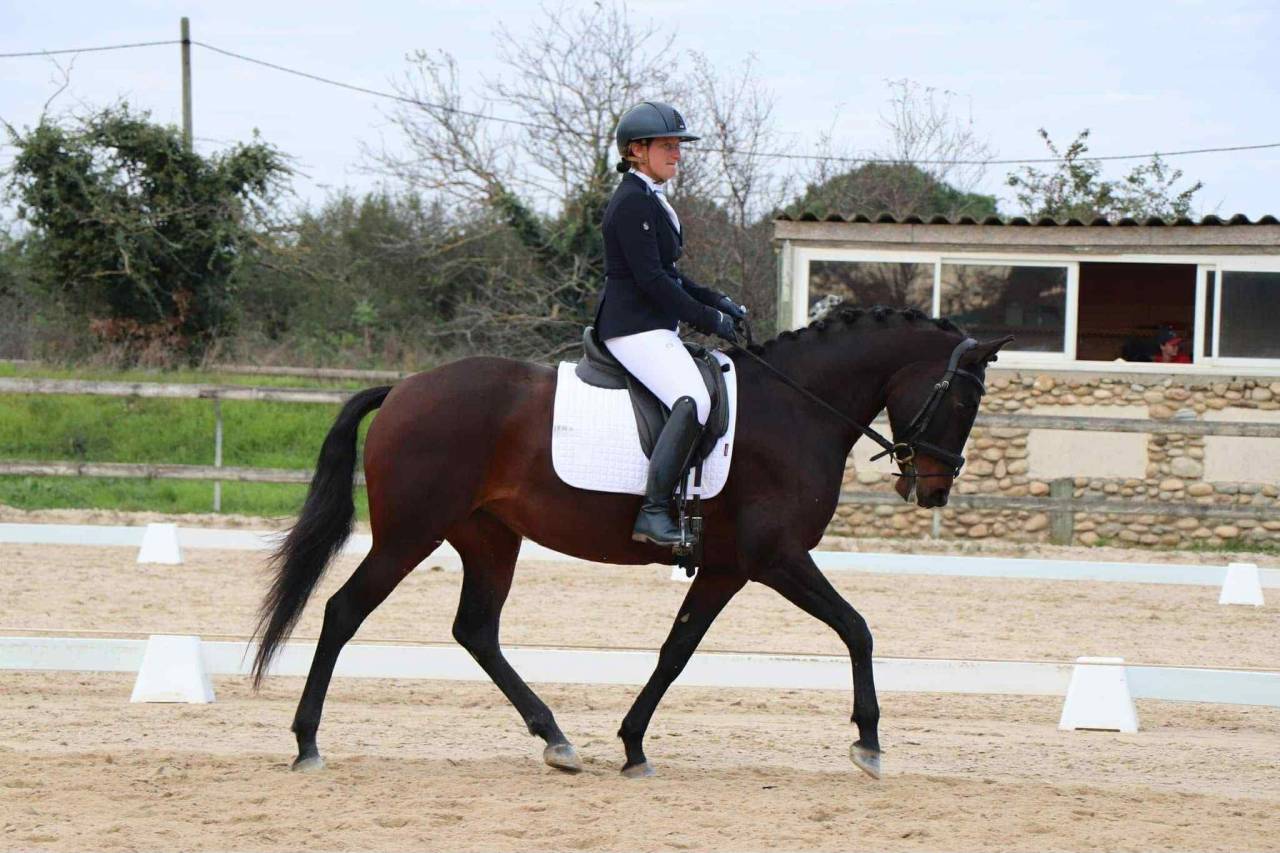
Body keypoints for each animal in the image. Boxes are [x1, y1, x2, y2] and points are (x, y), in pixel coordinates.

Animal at [250, 305, 1012, 779]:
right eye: (963, 399)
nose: (934, 490)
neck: (797, 408)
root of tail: (404, 389)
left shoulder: (726, 568)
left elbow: (677, 650)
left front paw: (633, 744)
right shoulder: (776, 558)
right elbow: (857, 628)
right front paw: (869, 742)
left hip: (489, 538)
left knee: (476, 630)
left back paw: (556, 739)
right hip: (410, 533)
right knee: (343, 612)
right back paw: (308, 742)